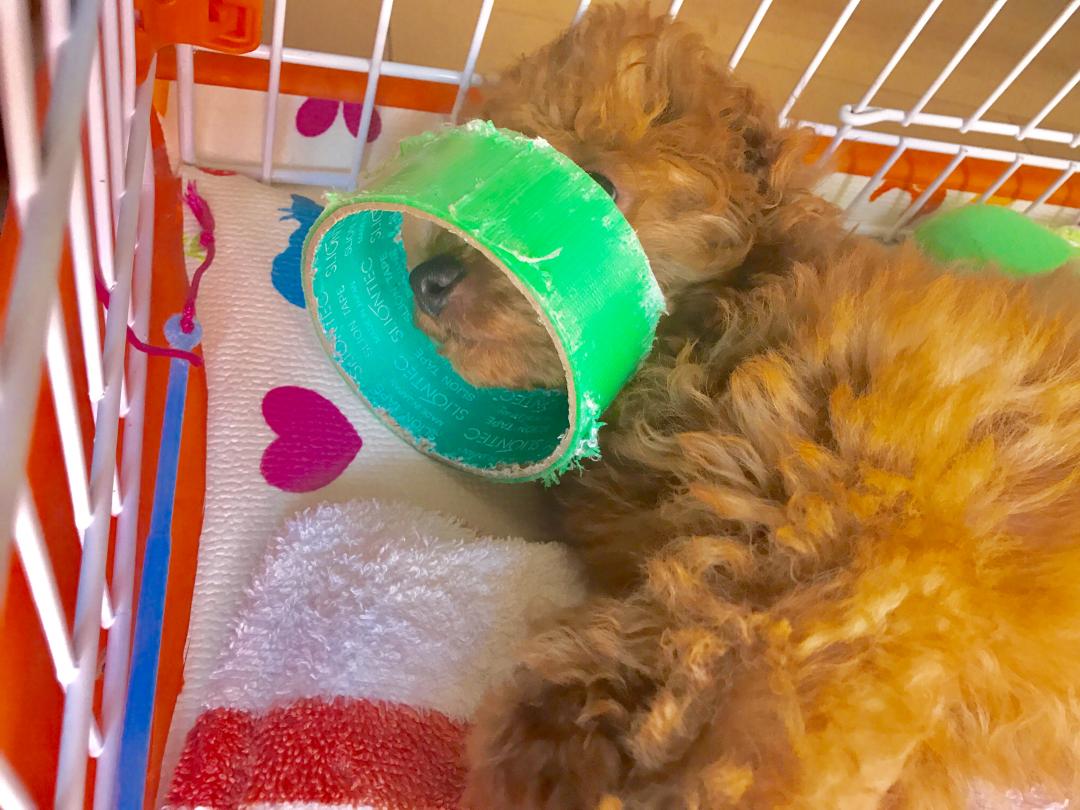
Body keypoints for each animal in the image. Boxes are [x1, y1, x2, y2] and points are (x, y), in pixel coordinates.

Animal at [407, 5, 1080, 808]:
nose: (427, 278)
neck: (725, 330)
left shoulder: (874, 537)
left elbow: (748, 670)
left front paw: (564, 747)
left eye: (596, 183)